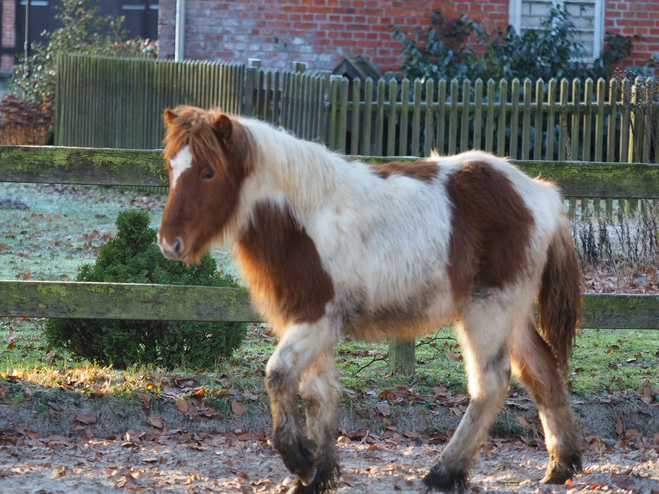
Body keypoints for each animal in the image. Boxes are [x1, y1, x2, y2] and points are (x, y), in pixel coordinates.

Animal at [159, 106, 584, 492]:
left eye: (209, 172)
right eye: (171, 168)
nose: (169, 243)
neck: (302, 217)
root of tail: (542, 194)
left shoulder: (317, 318)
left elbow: (278, 375)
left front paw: (300, 462)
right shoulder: (309, 323)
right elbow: (318, 394)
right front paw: (316, 477)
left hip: (487, 312)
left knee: (490, 384)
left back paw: (444, 472)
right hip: (511, 313)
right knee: (541, 372)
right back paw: (560, 466)